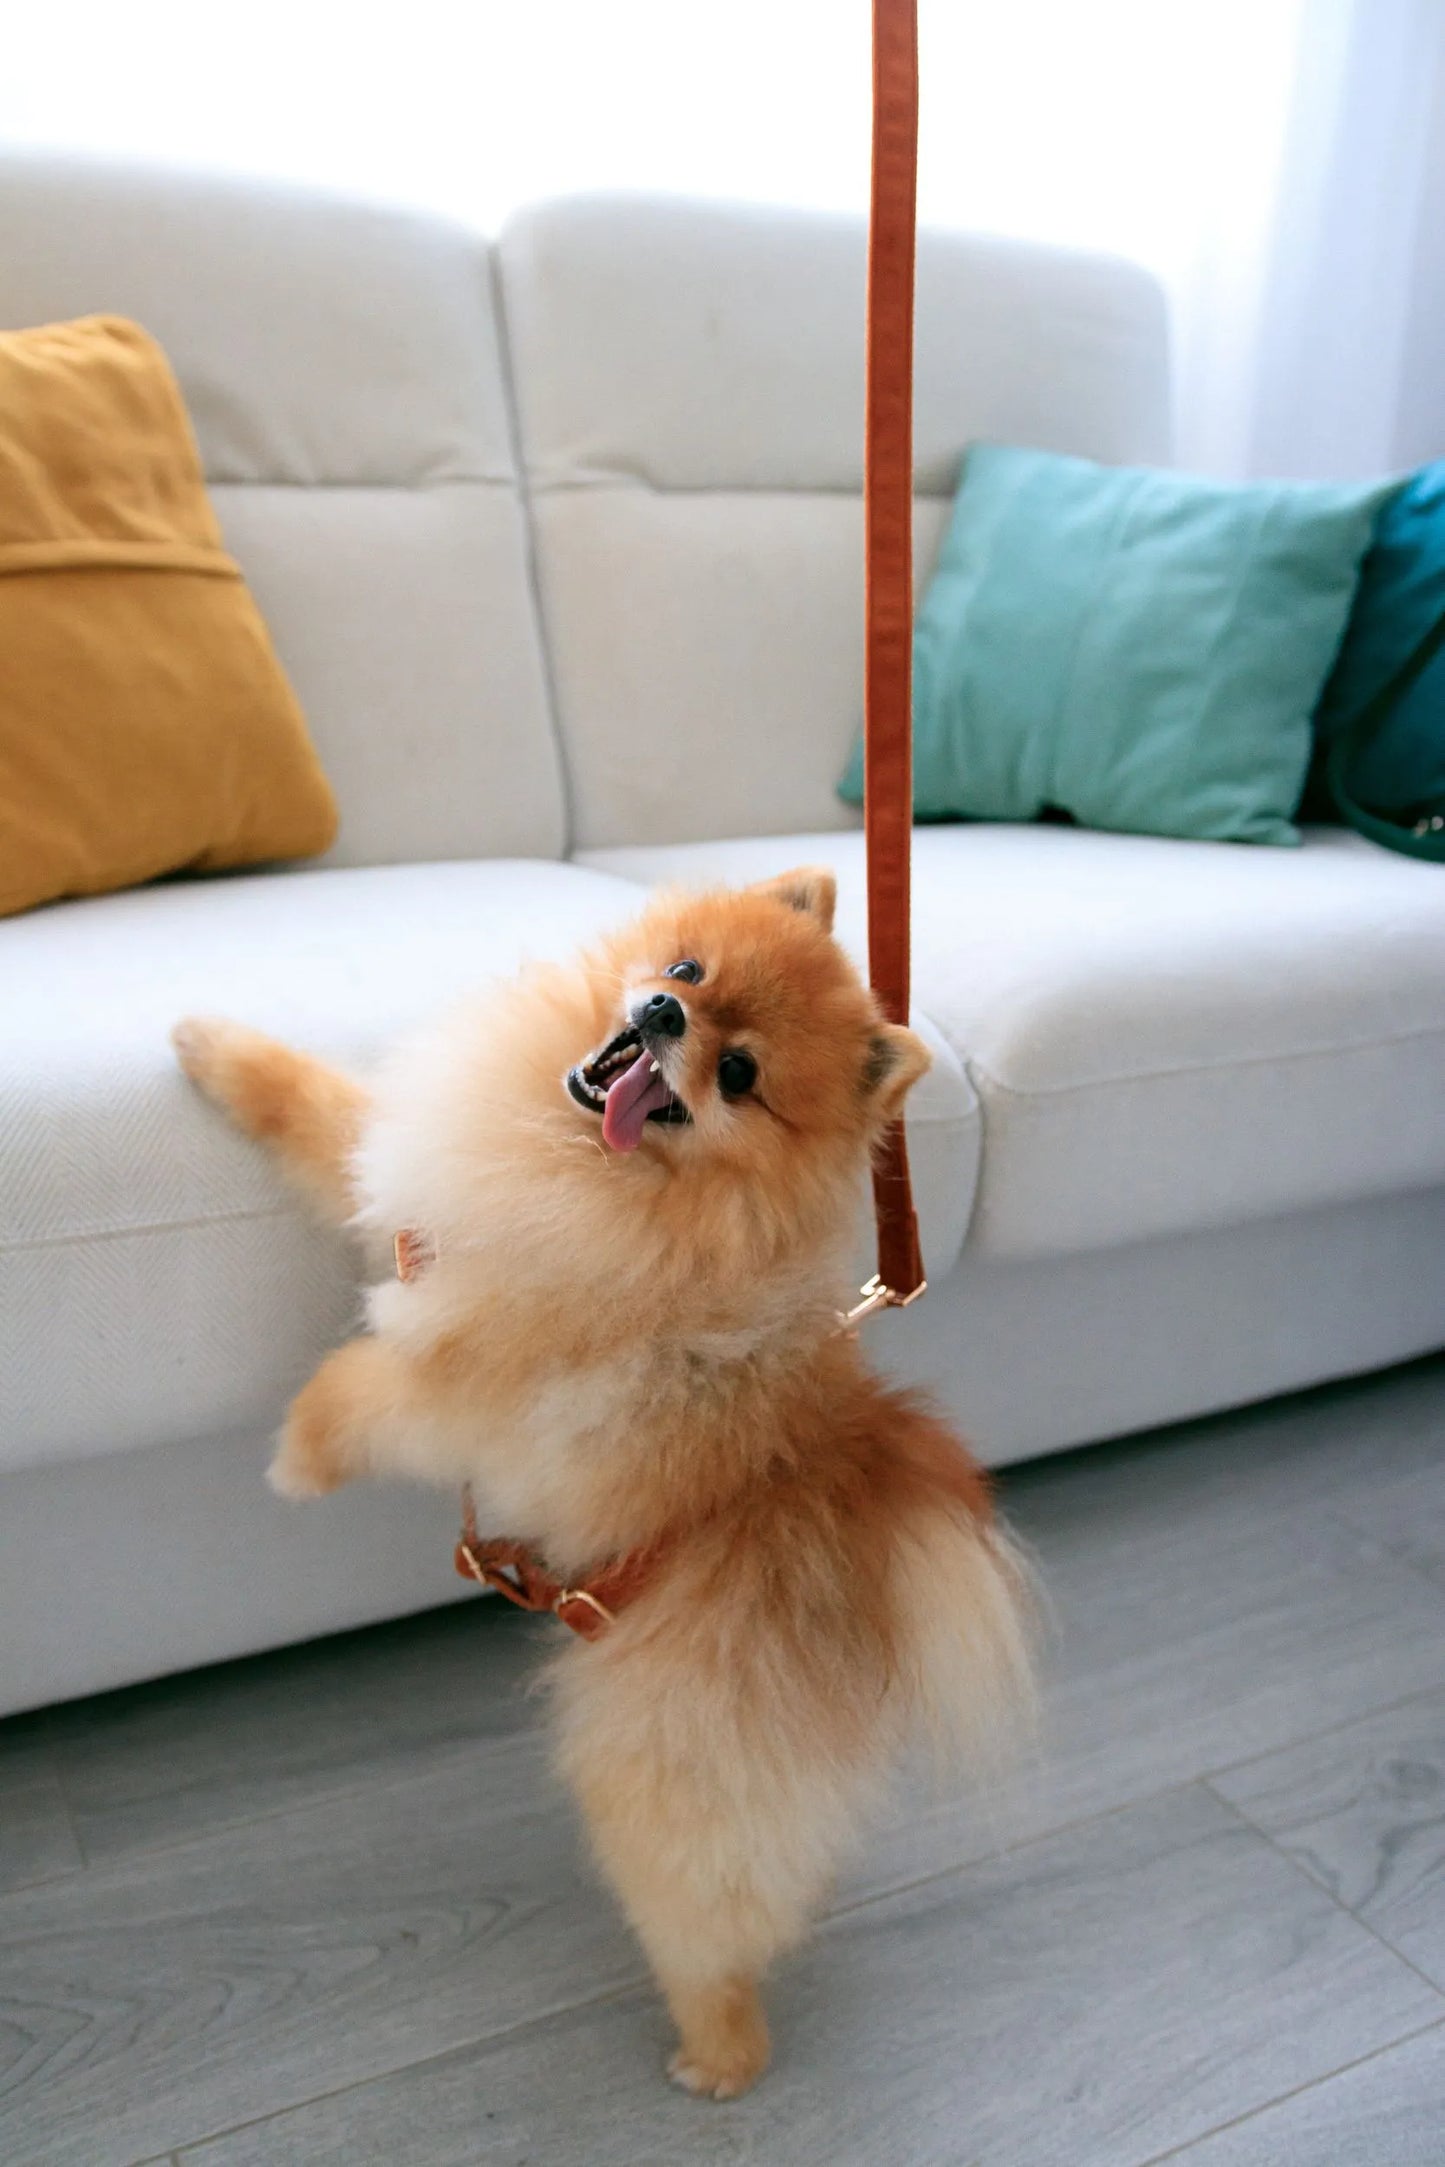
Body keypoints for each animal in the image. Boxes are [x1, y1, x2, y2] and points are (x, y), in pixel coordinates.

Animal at [175, 862, 1035, 2097]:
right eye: (685, 968)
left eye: (739, 1075)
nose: (665, 1016)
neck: (590, 1163)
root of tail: (846, 1485)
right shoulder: (421, 1195)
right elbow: (321, 1110)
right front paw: (208, 1044)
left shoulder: (462, 1383)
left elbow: (352, 1388)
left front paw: (294, 1462)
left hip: (658, 1766)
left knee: (705, 1914)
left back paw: (717, 2054)